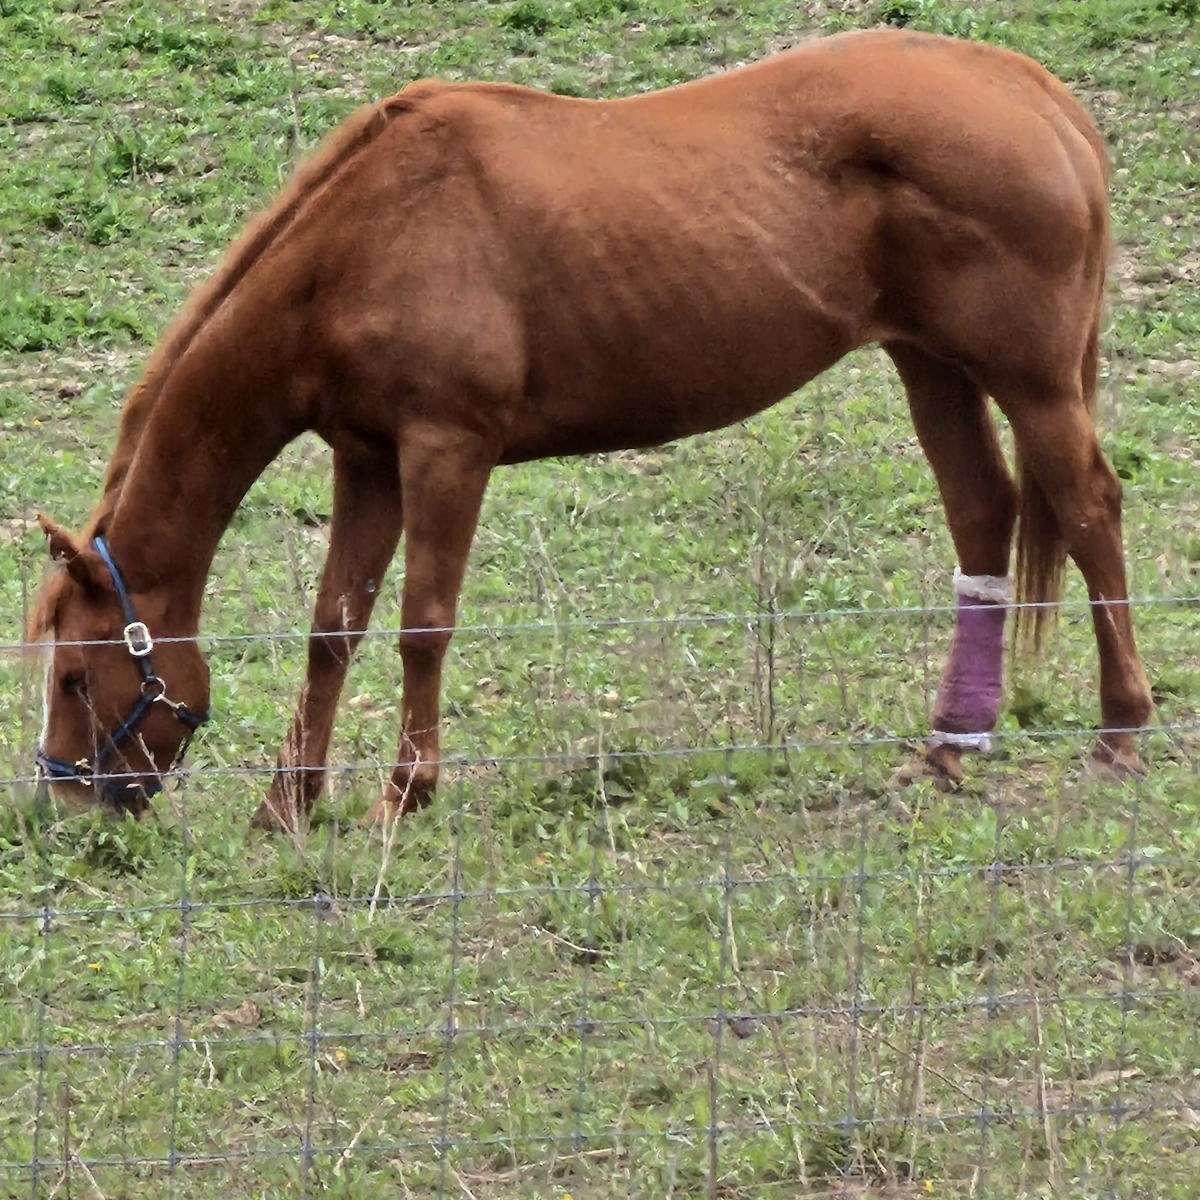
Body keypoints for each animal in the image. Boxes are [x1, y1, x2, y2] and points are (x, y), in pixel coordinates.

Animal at [29, 28, 1154, 830]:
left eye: (76, 673)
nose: (67, 801)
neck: (368, 237)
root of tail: (1030, 89)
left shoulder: (447, 451)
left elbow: (422, 623)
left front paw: (404, 793)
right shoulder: (369, 463)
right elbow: (333, 627)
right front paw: (288, 803)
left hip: (1033, 381)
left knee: (1089, 510)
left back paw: (1121, 734)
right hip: (932, 368)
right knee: (985, 514)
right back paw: (956, 743)